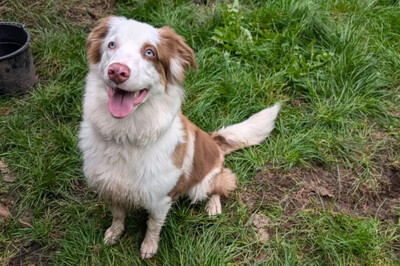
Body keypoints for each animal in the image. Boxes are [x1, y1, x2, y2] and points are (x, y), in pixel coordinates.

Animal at [77, 16, 278, 258]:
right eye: (111, 45)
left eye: (150, 52)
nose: (117, 71)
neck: (125, 136)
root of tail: (215, 142)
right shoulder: (112, 188)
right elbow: (118, 215)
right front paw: (113, 234)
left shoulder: (161, 198)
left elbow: (153, 225)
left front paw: (149, 248)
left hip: (201, 185)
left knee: (222, 182)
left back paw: (213, 206)